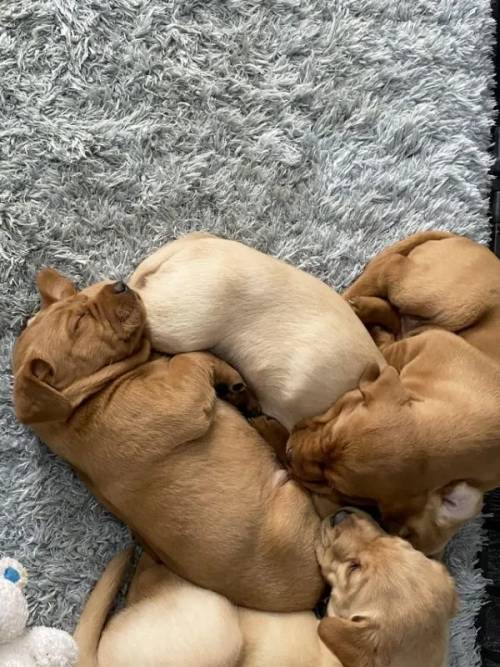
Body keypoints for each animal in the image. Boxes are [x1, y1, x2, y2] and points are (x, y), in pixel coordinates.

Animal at [13, 268, 324, 612]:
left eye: (82, 297)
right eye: (79, 323)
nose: (120, 285)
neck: (84, 400)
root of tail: (313, 597)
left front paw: (232, 384)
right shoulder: (180, 401)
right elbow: (189, 357)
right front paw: (227, 378)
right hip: (295, 501)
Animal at [288, 232, 494, 556]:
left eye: (336, 486)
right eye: (334, 420)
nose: (287, 453)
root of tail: (471, 244)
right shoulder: (420, 346)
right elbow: (392, 348)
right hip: (446, 299)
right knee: (392, 268)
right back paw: (354, 301)